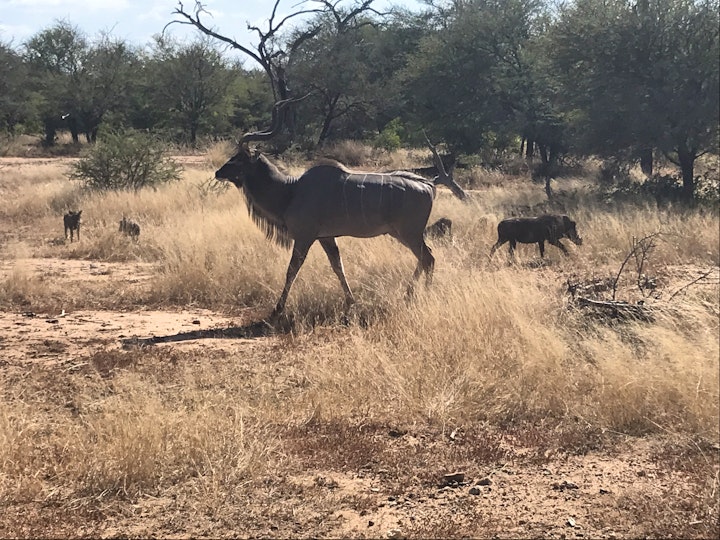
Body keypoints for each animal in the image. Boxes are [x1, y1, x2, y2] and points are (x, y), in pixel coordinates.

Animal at [214, 101, 466, 316]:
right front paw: (350, 302)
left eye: (238, 158)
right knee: (425, 258)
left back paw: (421, 295)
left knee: (428, 258)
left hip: (409, 233)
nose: (218, 172)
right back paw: (409, 295)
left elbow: (292, 269)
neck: (290, 190)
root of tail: (429, 185)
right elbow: (338, 267)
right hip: (402, 234)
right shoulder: (326, 237)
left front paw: (278, 309)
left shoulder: (304, 237)